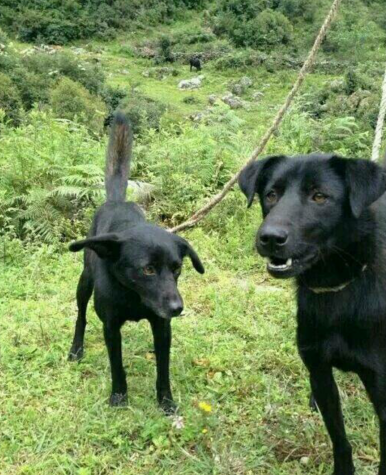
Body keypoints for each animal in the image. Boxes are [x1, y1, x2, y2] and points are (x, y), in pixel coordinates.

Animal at [68, 113, 205, 414]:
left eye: (177, 268)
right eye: (148, 269)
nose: (177, 308)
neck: (133, 294)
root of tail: (116, 200)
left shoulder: (162, 326)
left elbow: (163, 370)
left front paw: (166, 401)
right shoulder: (110, 327)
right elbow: (117, 365)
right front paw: (119, 397)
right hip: (84, 281)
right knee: (81, 316)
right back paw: (76, 349)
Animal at [240, 154, 386, 474]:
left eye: (319, 196)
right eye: (271, 194)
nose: (270, 238)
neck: (336, 288)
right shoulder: (319, 369)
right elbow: (339, 439)